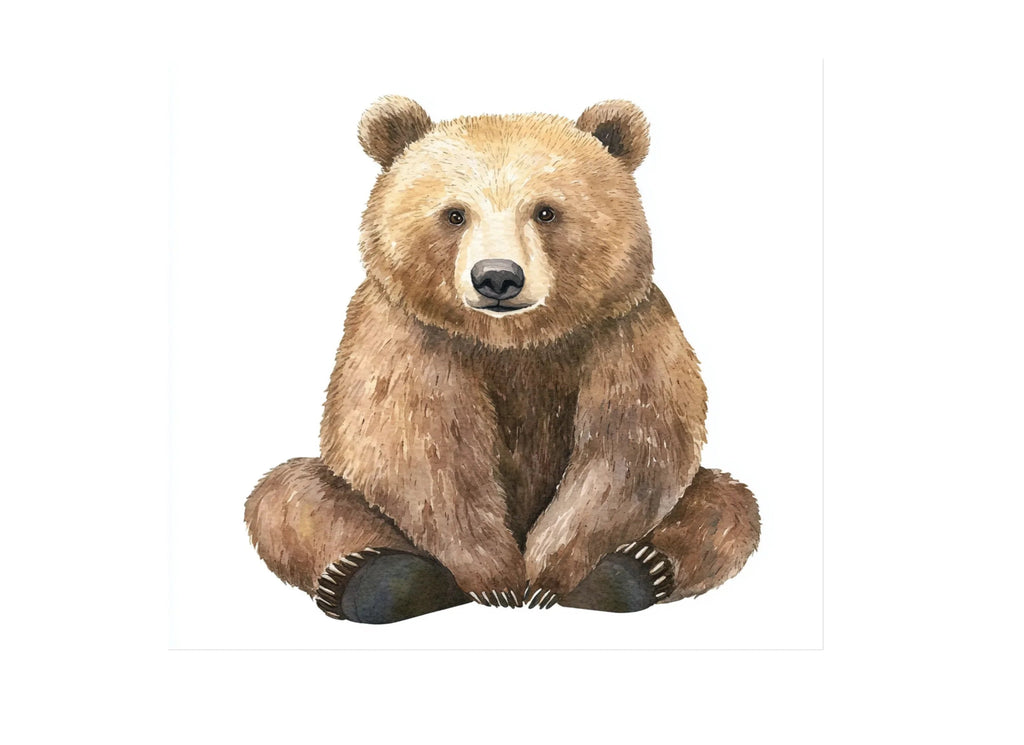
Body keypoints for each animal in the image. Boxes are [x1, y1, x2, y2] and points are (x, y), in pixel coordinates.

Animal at [244, 96, 760, 624]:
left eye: (546, 211)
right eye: (454, 213)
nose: (496, 277)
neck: (513, 341)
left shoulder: (622, 333)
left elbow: (629, 451)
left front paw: (545, 576)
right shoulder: (411, 341)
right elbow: (421, 454)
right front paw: (498, 580)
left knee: (727, 504)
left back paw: (633, 570)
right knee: (289, 495)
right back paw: (381, 577)